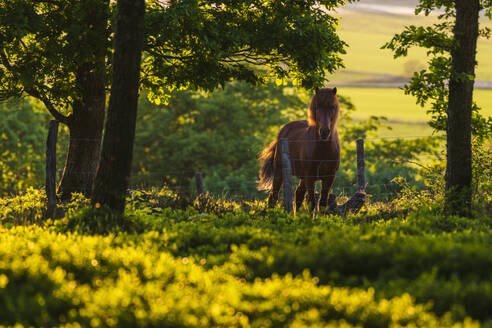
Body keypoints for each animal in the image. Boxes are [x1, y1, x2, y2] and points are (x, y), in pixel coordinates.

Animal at [258, 86, 342, 214]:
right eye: (317, 107)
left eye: (332, 107)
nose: (324, 132)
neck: (323, 150)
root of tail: (283, 130)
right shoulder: (310, 177)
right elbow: (312, 202)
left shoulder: (329, 177)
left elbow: (322, 203)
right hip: (279, 171)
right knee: (273, 196)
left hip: (303, 177)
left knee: (298, 194)